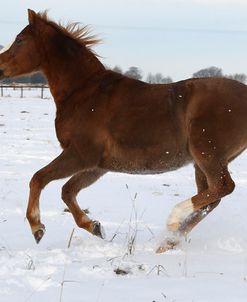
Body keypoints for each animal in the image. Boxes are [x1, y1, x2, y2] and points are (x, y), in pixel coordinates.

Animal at [0, 8, 246, 251]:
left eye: (20, 39)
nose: (0, 67)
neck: (84, 93)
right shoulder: (97, 166)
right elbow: (67, 191)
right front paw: (95, 227)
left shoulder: (80, 155)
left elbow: (38, 178)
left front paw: (37, 228)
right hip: (201, 162)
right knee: (211, 198)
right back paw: (168, 241)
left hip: (207, 155)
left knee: (223, 187)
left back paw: (173, 220)